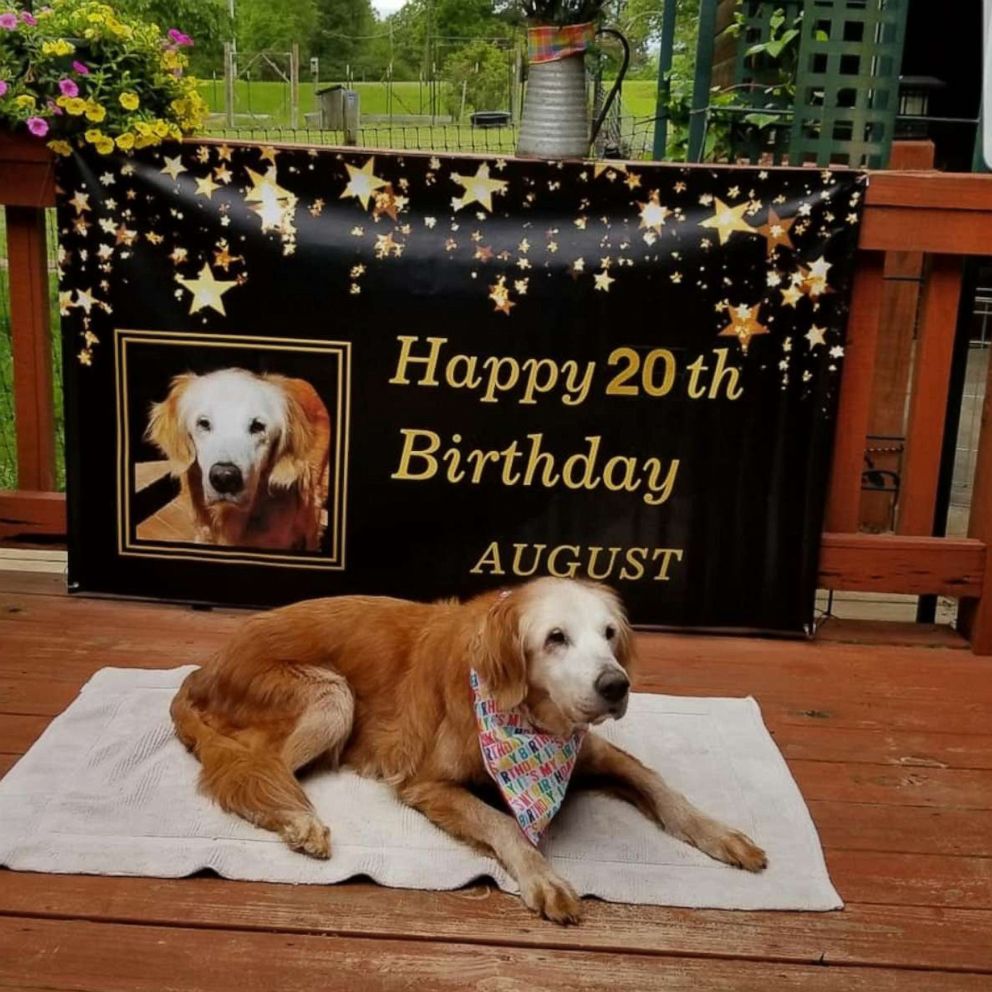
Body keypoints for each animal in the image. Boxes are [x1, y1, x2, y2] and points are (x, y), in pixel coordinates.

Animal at [170, 576, 768, 928]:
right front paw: (544, 878)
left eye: (609, 634)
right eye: (556, 637)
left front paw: (721, 834)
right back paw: (299, 821)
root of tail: (205, 668)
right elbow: (503, 823)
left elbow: (664, 788)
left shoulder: (593, 752)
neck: (529, 719)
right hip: (332, 697)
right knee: (256, 770)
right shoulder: (427, 783)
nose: (616, 686)